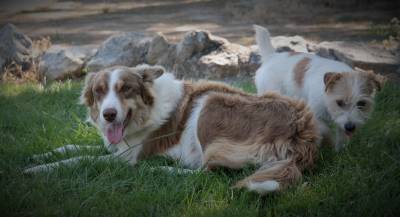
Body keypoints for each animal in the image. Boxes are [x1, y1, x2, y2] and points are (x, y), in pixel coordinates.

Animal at [25, 65, 318, 195]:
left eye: (126, 89)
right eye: (99, 92)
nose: (109, 115)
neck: (145, 113)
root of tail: (301, 130)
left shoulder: (128, 158)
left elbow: (80, 159)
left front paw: (39, 169)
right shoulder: (117, 147)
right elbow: (72, 146)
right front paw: (40, 155)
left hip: (211, 103)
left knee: (206, 174)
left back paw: (159, 170)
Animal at [255, 25, 386, 151]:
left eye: (362, 103)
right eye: (339, 102)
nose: (350, 127)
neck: (326, 96)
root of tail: (271, 56)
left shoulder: (342, 122)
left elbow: (341, 134)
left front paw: (340, 151)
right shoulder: (314, 114)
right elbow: (325, 129)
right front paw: (329, 143)